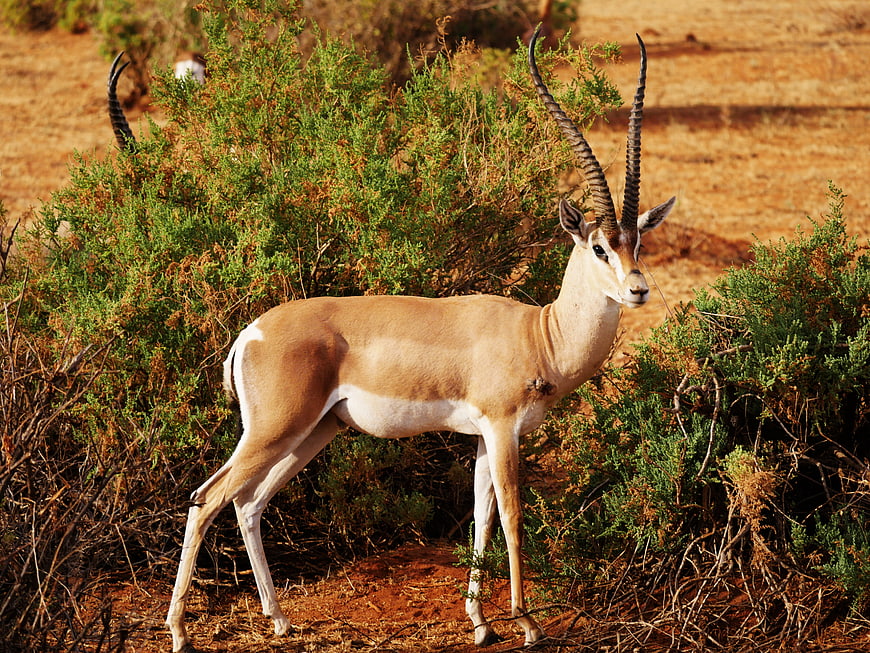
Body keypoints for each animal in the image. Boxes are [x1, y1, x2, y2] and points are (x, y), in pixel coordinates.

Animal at [159, 27, 675, 651]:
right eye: (599, 247)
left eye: (637, 244)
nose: (638, 290)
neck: (538, 335)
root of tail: (250, 333)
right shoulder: (502, 430)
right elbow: (512, 517)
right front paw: (526, 622)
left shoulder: (482, 439)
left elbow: (480, 519)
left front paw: (480, 622)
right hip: (276, 428)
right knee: (207, 498)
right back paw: (179, 630)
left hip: (314, 432)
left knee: (248, 501)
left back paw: (278, 618)